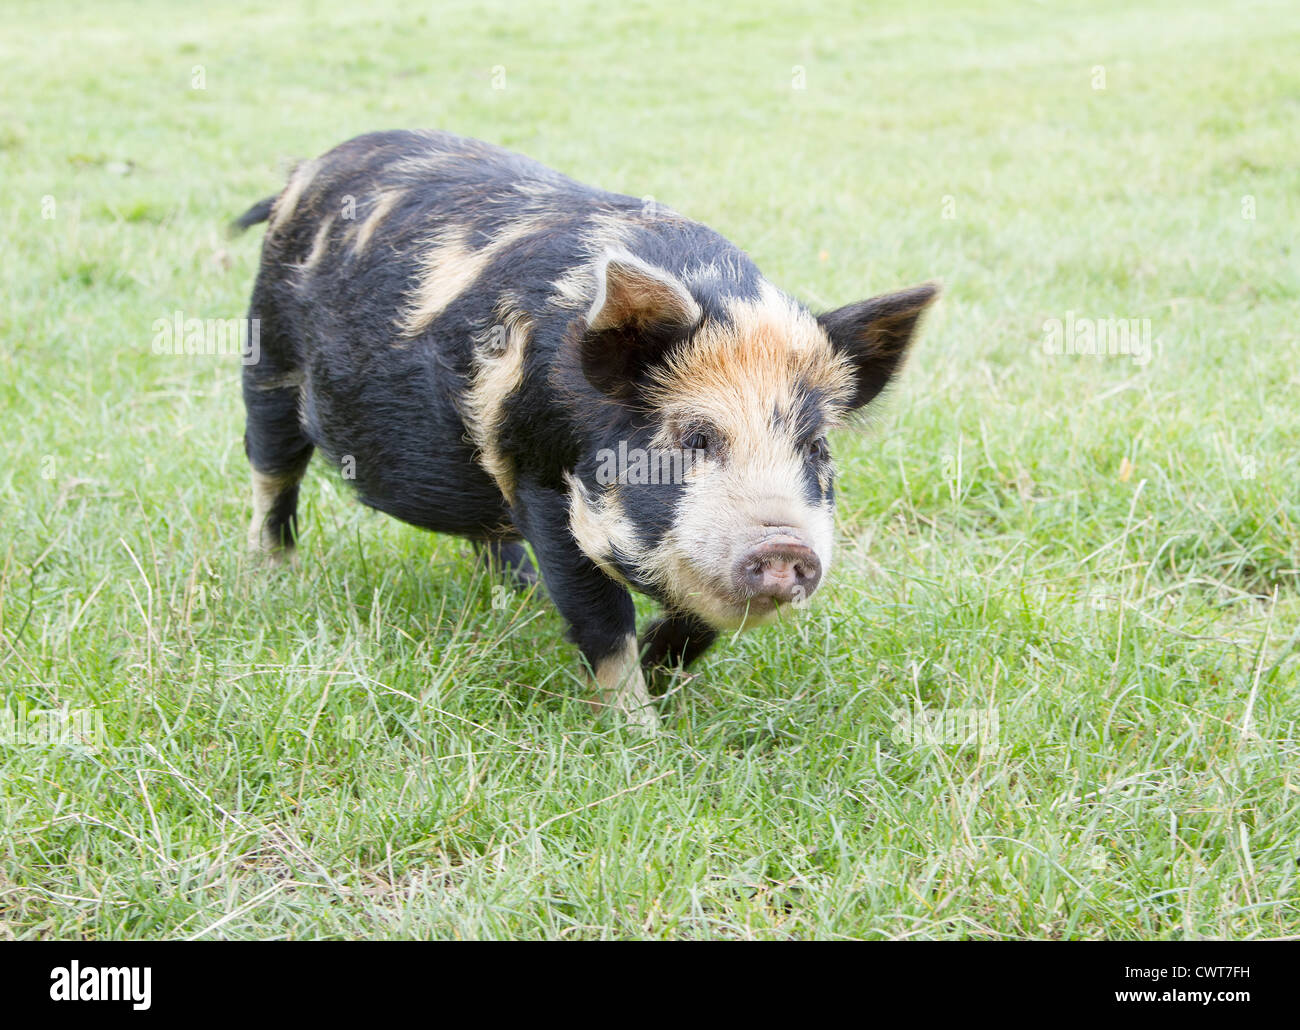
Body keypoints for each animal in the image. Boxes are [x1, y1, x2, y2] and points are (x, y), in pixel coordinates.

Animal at [233, 128, 935, 733]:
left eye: (814, 448)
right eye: (695, 438)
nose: (785, 545)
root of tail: (305, 172)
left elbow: (696, 624)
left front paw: (660, 681)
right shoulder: (541, 477)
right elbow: (600, 616)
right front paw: (639, 734)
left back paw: (520, 594)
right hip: (266, 355)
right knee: (272, 471)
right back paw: (272, 574)